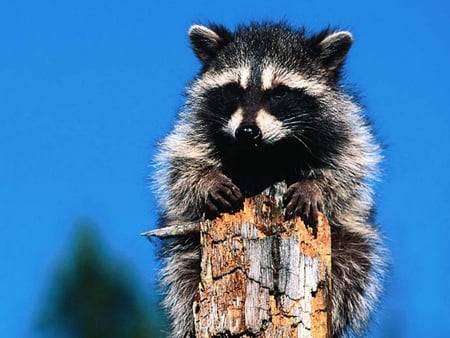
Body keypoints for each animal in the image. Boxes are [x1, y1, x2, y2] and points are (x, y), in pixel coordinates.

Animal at [153, 22, 384, 336]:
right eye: (234, 90)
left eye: (279, 93)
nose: (247, 132)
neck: (264, 153)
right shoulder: (197, 128)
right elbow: (180, 166)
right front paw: (206, 180)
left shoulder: (343, 130)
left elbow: (346, 169)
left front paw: (314, 186)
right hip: (187, 253)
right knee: (184, 278)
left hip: (350, 239)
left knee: (352, 266)